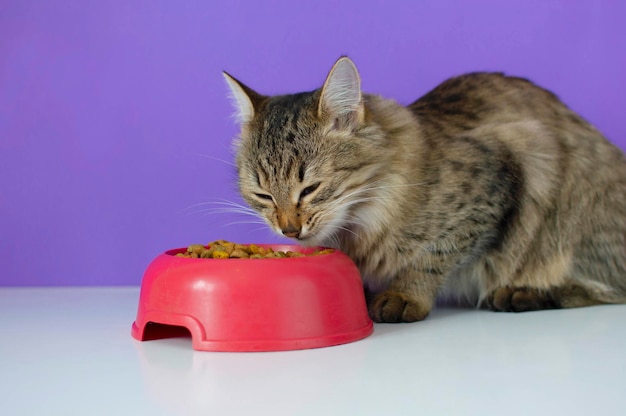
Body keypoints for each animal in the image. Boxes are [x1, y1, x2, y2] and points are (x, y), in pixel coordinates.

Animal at [223, 56, 624, 322]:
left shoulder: (496, 176)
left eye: (310, 188)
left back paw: (526, 292)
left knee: (608, 287)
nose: (289, 230)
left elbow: (433, 255)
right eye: (263, 195)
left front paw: (404, 295)